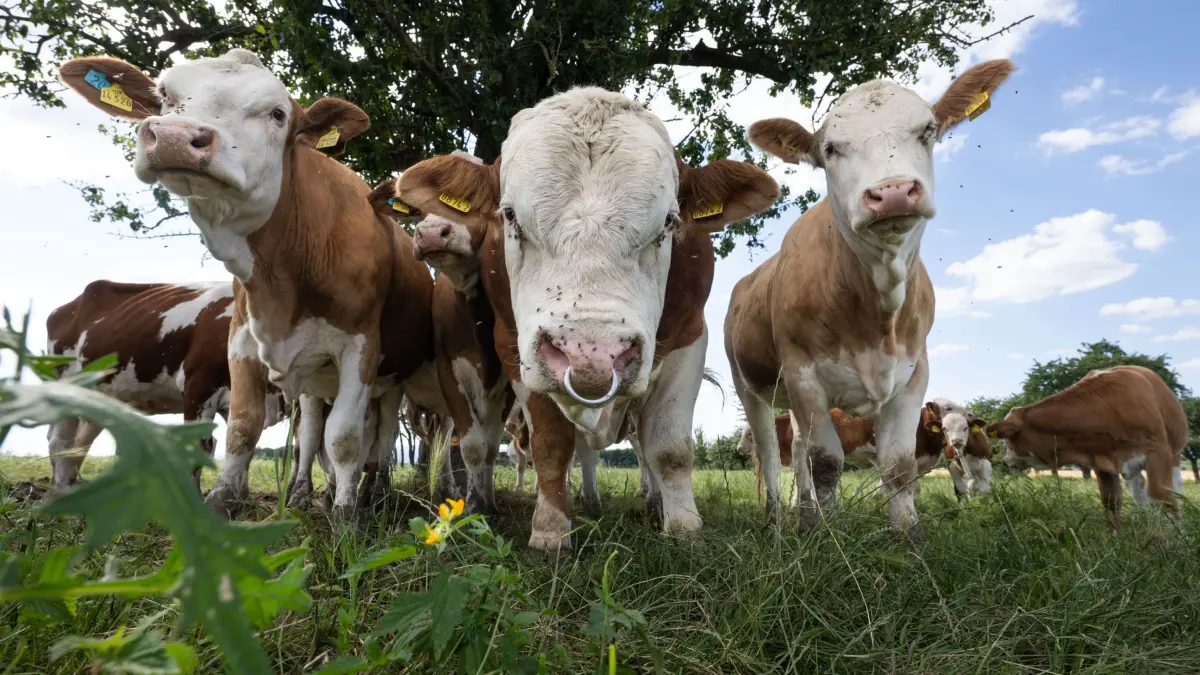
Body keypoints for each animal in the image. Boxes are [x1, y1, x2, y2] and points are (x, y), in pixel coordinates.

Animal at [45, 280, 285, 492]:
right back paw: (62, 490)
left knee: (79, 442)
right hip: (66, 386)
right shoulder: (198, 383)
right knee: (60, 440)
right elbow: (199, 447)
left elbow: (242, 440)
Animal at [393, 87, 779, 550]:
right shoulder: (513, 351)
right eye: (509, 216)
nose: (591, 355)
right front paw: (550, 530)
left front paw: (684, 529)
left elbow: (669, 449)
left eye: (668, 222)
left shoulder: (689, 338)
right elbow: (549, 446)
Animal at [728, 59, 1015, 538]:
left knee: (799, 447)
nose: (894, 191)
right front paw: (825, 536)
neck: (876, 302)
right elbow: (826, 464)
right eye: (829, 149)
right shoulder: (804, 373)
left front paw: (909, 537)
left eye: (928, 130)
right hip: (752, 385)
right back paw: (777, 518)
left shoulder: (913, 376)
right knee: (770, 452)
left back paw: (804, 513)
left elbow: (897, 469)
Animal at [989, 365, 1187, 530]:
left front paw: (1172, 540)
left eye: (1007, 441)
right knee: (1138, 488)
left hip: (1174, 453)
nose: (1006, 460)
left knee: (1174, 489)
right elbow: (1111, 502)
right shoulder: (1102, 462)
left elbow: (1164, 498)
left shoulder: (1158, 452)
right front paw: (1117, 540)